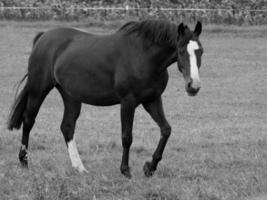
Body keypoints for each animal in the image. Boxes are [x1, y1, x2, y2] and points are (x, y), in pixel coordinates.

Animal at [7, 19, 204, 177]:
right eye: (180, 51)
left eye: (200, 51)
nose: (193, 86)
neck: (143, 56)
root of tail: (42, 37)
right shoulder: (128, 102)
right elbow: (127, 136)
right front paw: (125, 170)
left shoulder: (151, 100)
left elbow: (166, 130)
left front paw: (150, 167)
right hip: (38, 89)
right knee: (28, 121)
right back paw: (24, 161)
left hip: (70, 96)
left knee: (67, 127)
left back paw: (79, 168)